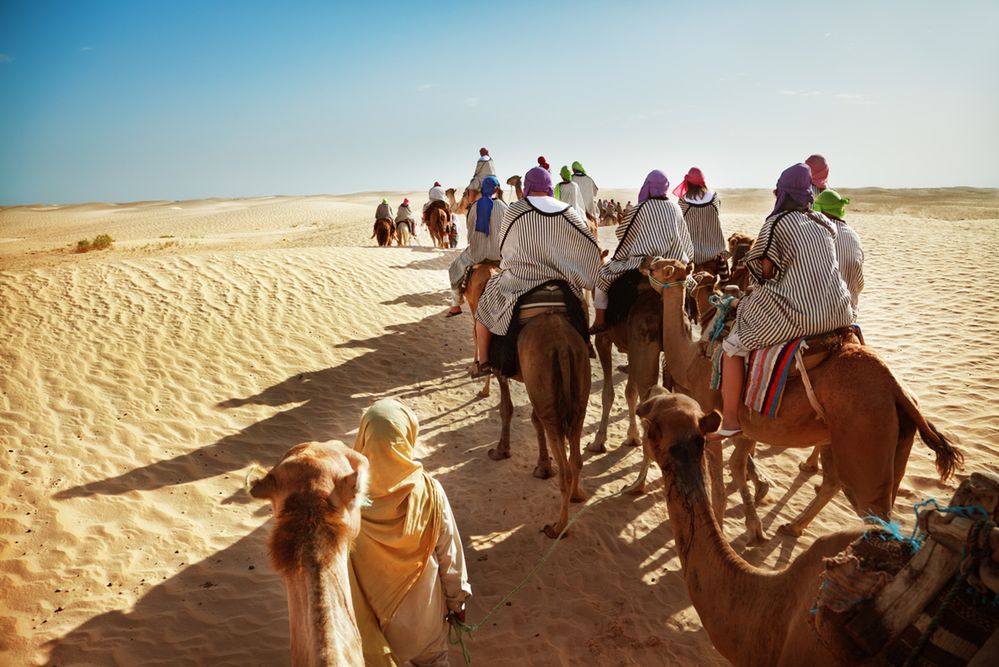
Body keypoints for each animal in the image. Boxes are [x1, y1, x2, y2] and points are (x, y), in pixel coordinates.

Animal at [486, 306, 588, 540]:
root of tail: (562, 345)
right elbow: (533, 419)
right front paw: (543, 468)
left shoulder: (501, 368)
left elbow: (506, 408)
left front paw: (500, 451)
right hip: (575, 392)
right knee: (575, 457)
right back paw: (577, 496)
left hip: (545, 389)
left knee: (565, 467)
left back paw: (558, 528)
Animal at [640, 258, 960, 544]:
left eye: (662, 266)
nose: (645, 262)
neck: (691, 357)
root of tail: (896, 389)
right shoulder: (747, 426)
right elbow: (738, 466)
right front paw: (755, 527)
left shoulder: (712, 417)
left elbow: (718, 482)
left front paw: (724, 527)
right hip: (877, 442)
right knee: (838, 484)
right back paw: (794, 527)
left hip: (865, 445)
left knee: (873, 510)